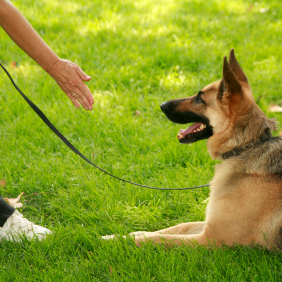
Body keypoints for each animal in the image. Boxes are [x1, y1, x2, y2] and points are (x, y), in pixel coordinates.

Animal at [103, 50, 282, 249]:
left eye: (199, 99)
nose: (162, 105)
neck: (246, 146)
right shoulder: (208, 225)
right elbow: (179, 226)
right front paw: (123, 235)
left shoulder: (210, 239)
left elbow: (158, 239)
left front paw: (119, 241)